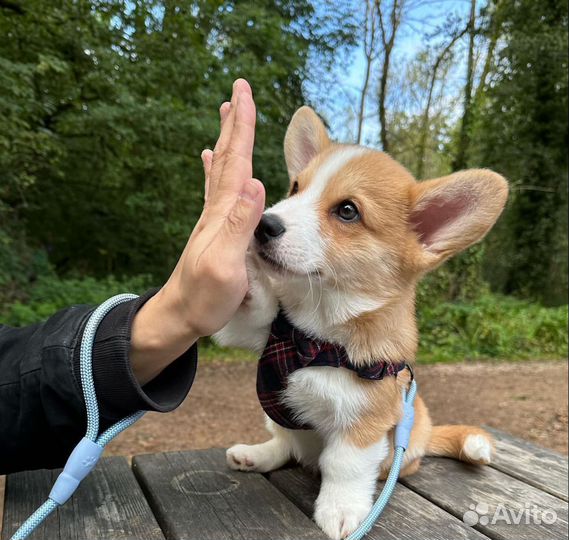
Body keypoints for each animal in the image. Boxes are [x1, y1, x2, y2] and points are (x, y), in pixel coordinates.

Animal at [212, 106, 506, 540]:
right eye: (295, 187)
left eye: (347, 211)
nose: (262, 225)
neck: (317, 336)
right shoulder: (258, 330)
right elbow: (254, 307)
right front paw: (243, 259)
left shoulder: (365, 422)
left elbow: (343, 466)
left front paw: (341, 511)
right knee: (283, 442)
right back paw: (254, 455)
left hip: (406, 440)